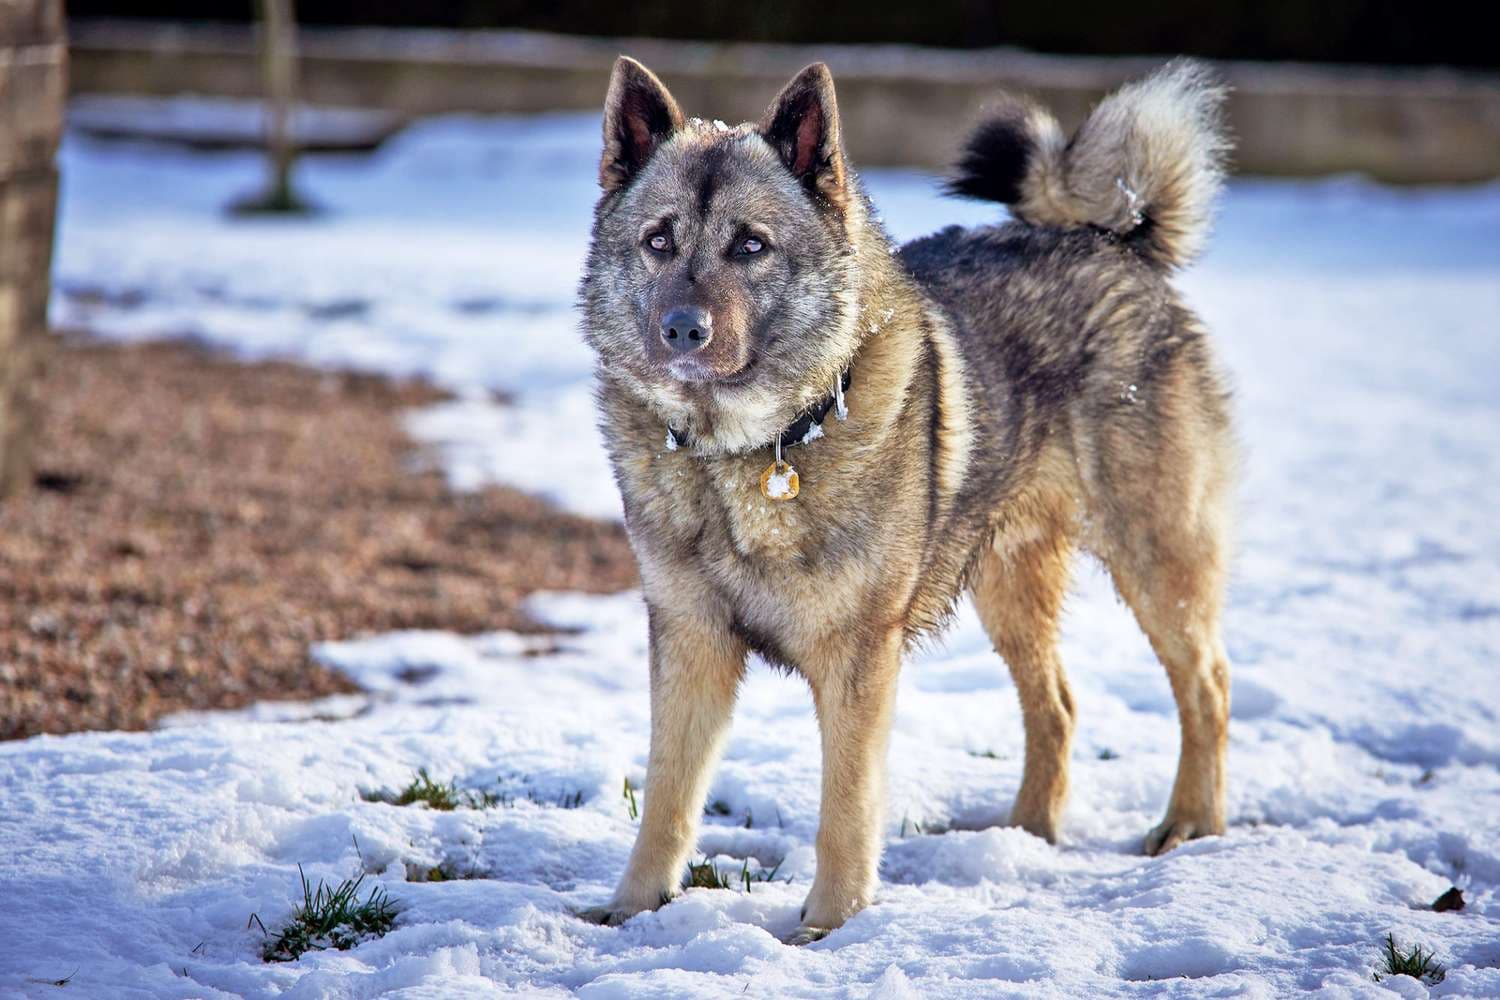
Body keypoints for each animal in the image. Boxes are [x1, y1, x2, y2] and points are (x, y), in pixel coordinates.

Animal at [573, 56, 1230, 947]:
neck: (746, 453)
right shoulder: (689, 638)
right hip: (1008, 585)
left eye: (751, 245)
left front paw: (830, 924)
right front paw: (634, 908)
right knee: (1056, 705)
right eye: (658, 241)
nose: (681, 329)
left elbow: (845, 807)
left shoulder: (858, 658)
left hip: (1156, 560)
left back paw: (1191, 825)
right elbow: (669, 795)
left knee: (1207, 688)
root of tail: (1108, 241)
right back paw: (1024, 836)